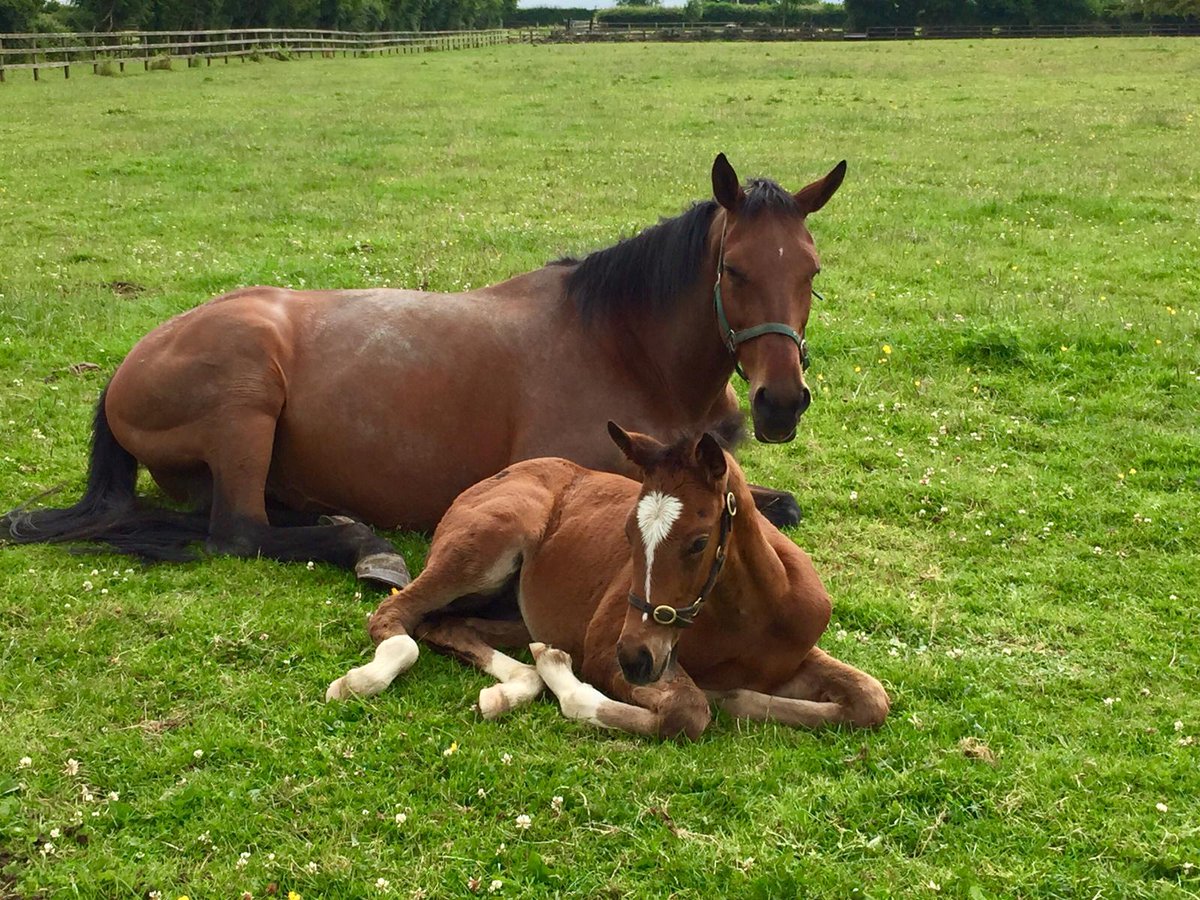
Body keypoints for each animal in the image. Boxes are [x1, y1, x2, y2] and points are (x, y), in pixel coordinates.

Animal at [2, 153, 844, 592]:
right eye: (734, 270)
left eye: (811, 269)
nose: (782, 402)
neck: (622, 348)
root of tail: (124, 369)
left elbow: (776, 502)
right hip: (246, 399)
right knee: (238, 532)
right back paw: (363, 546)